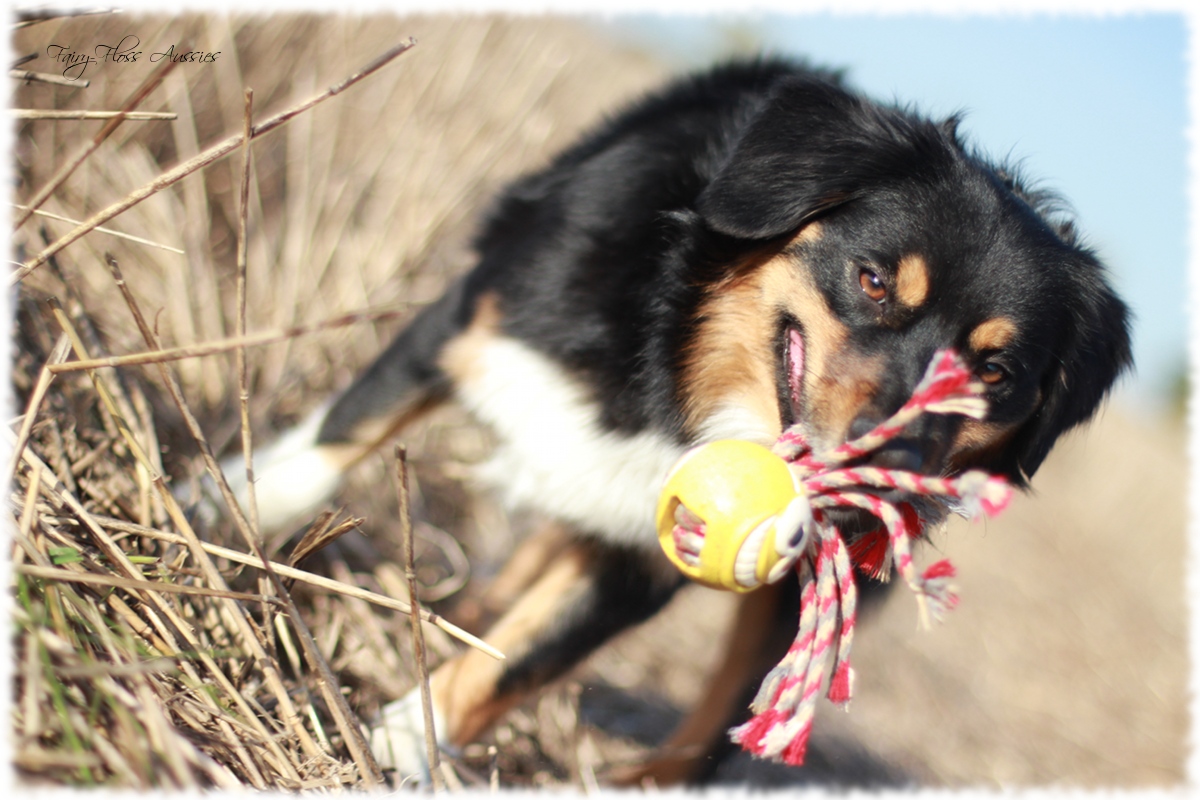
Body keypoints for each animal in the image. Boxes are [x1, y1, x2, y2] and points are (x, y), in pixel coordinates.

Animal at [218, 59, 1132, 786]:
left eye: (995, 373)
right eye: (872, 281)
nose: (897, 457)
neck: (672, 372)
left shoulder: (642, 550)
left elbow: (521, 661)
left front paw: (407, 742)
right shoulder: (479, 320)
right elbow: (337, 441)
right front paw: (225, 515)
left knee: (725, 709)